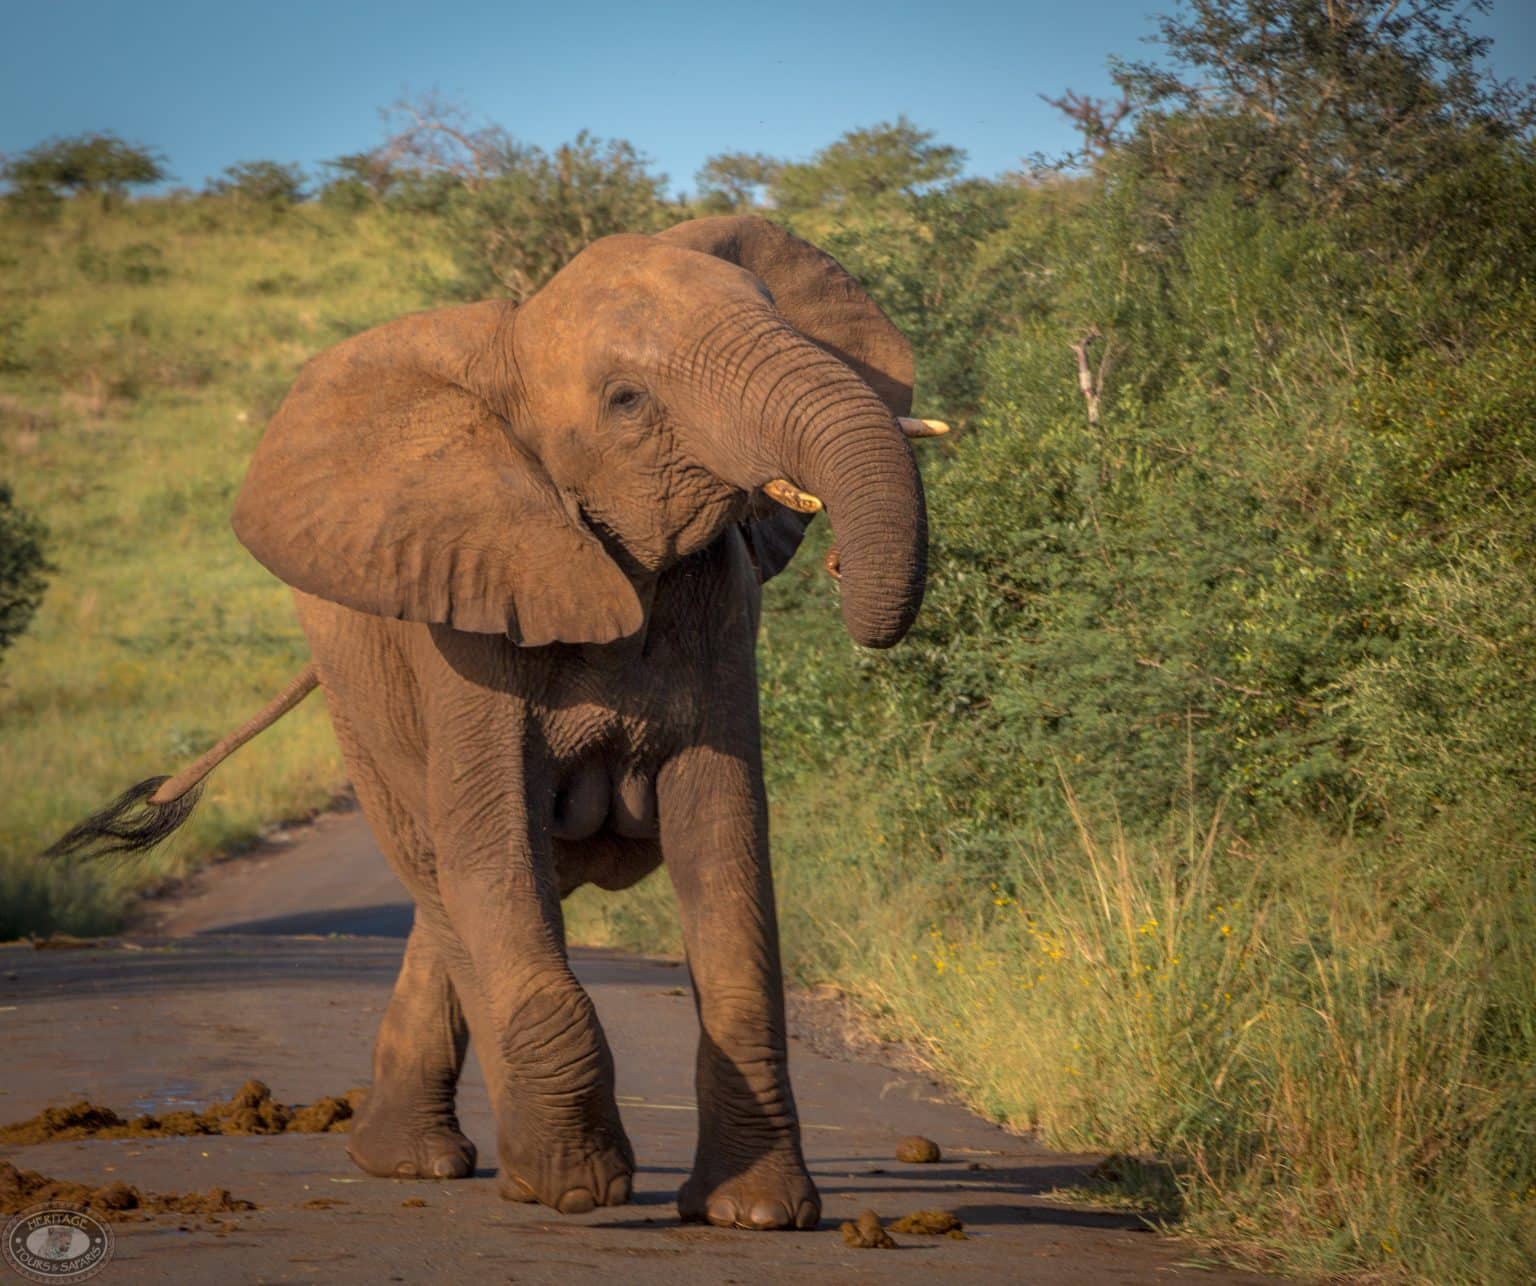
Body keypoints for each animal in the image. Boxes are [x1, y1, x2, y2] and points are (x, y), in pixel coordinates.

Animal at [48, 215, 938, 1231]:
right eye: (627, 399)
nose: (835, 567)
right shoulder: (464, 619)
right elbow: (493, 843)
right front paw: (578, 1190)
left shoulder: (719, 606)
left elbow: (726, 847)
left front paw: (755, 1215)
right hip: (359, 696)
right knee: (445, 870)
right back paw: (468, 1168)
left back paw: (407, 1158)